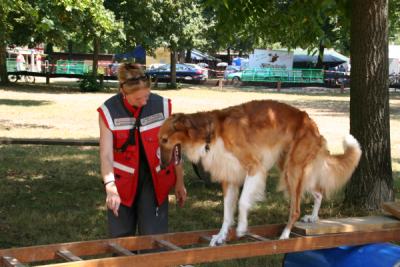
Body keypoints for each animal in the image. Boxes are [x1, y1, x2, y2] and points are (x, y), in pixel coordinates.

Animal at [158, 99, 360, 246]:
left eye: (165, 140)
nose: (162, 165)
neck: (211, 133)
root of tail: (311, 122)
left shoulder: (254, 167)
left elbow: (242, 203)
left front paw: (241, 228)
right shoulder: (229, 177)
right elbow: (226, 213)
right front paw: (220, 236)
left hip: (293, 170)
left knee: (295, 209)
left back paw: (285, 235)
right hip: (289, 168)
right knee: (318, 191)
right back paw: (313, 217)